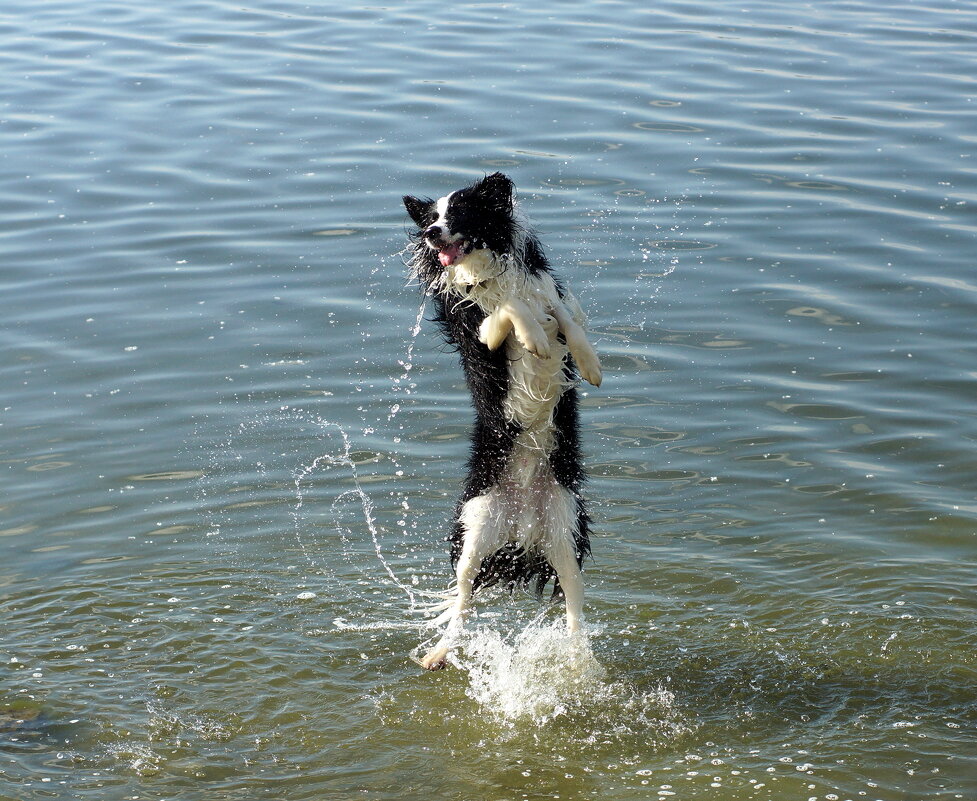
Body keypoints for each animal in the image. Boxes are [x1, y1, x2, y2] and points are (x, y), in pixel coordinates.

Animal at [400, 173, 600, 668]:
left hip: (564, 530)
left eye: (459, 213)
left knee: (573, 608)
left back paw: (577, 657)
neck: (488, 269)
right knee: (462, 601)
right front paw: (534, 338)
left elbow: (564, 316)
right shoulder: (480, 336)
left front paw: (589, 363)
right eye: (431, 218)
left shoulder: (552, 295)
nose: (432, 233)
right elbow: (508, 310)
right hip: (474, 531)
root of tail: (521, 524)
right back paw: (438, 652)